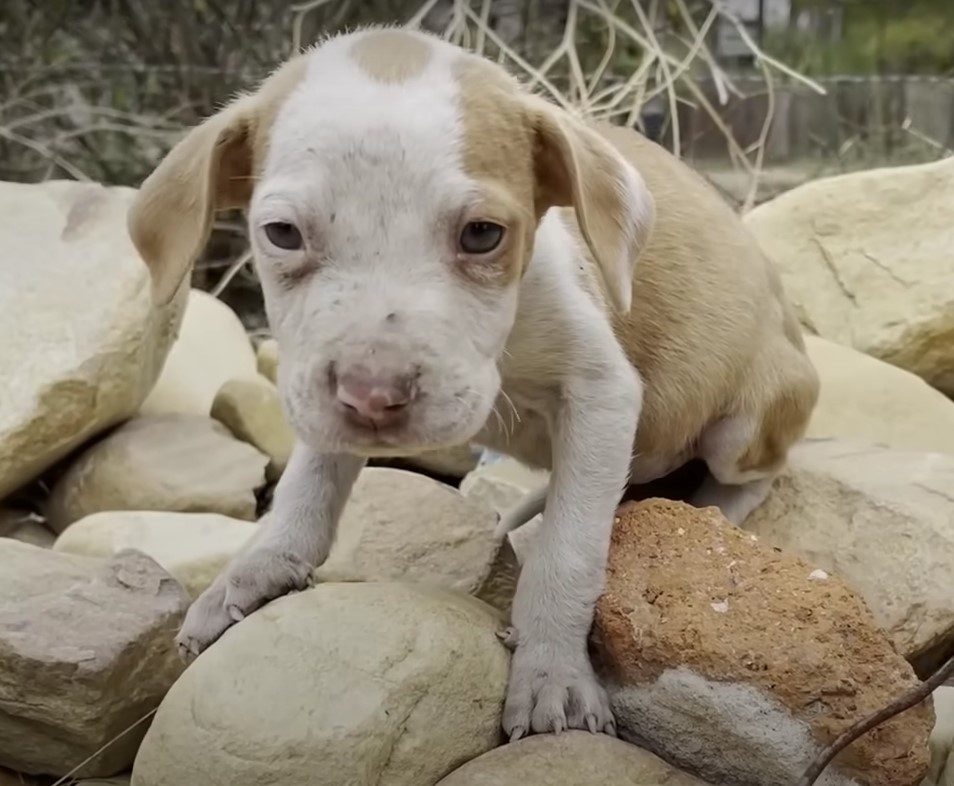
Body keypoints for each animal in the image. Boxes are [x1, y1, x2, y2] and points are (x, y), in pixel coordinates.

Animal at [126, 24, 820, 740]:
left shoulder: (600, 392)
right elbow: (307, 483)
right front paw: (256, 567)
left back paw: (711, 511)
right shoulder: (317, 388)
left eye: (484, 235)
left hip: (747, 425)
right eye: (282, 234)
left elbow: (568, 553)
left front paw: (552, 672)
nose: (374, 398)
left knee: (752, 473)